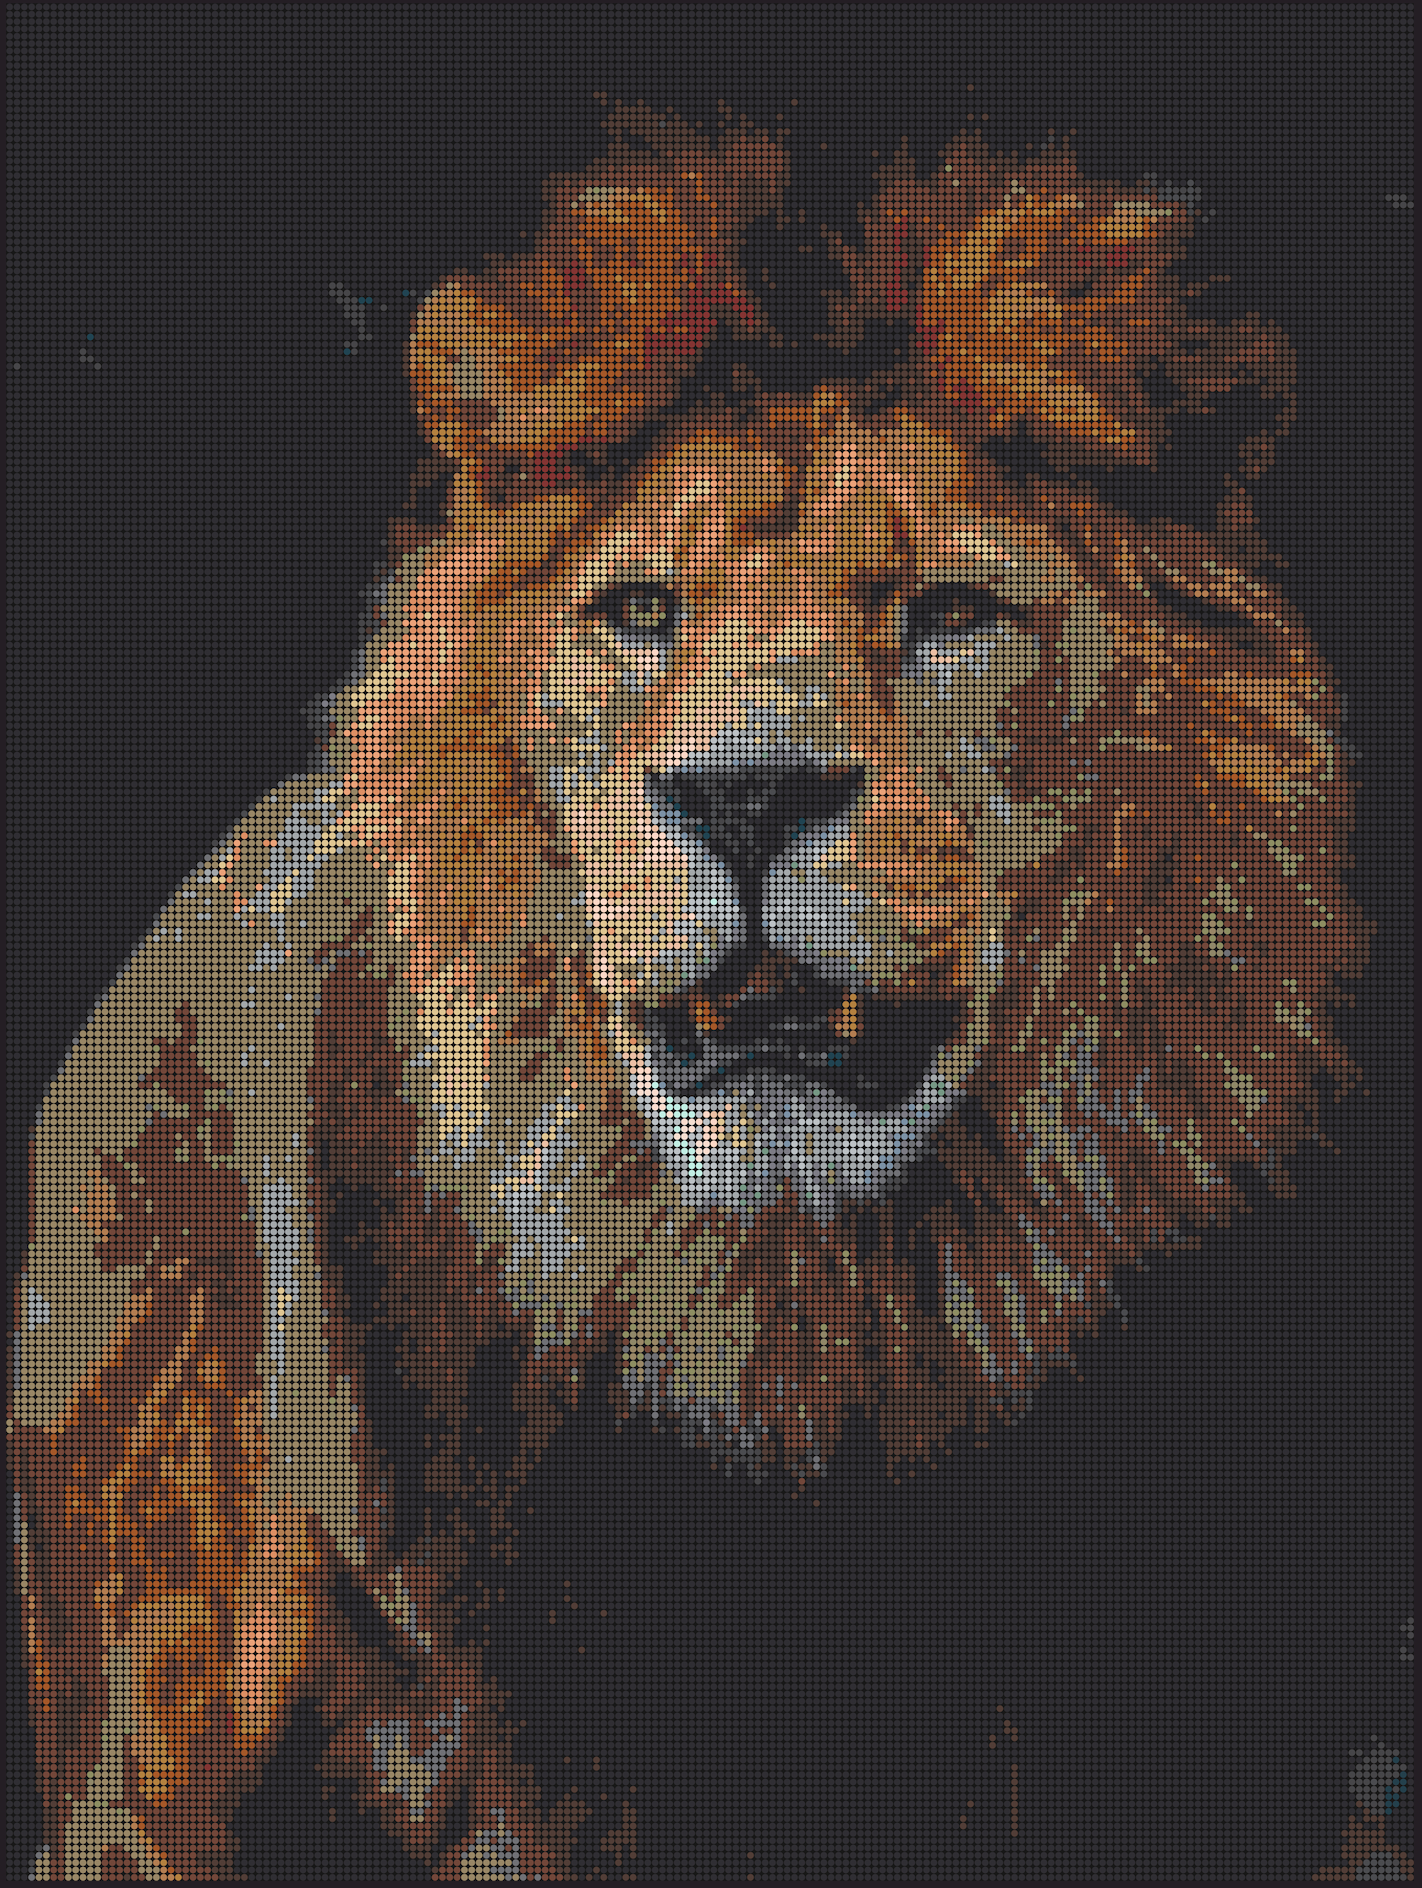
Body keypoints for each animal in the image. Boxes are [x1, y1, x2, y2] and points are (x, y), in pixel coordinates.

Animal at [13, 108, 1373, 1879]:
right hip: (158, 1696)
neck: (829, 1319)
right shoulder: (543, 1749)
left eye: (948, 614)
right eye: (641, 614)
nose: (745, 795)